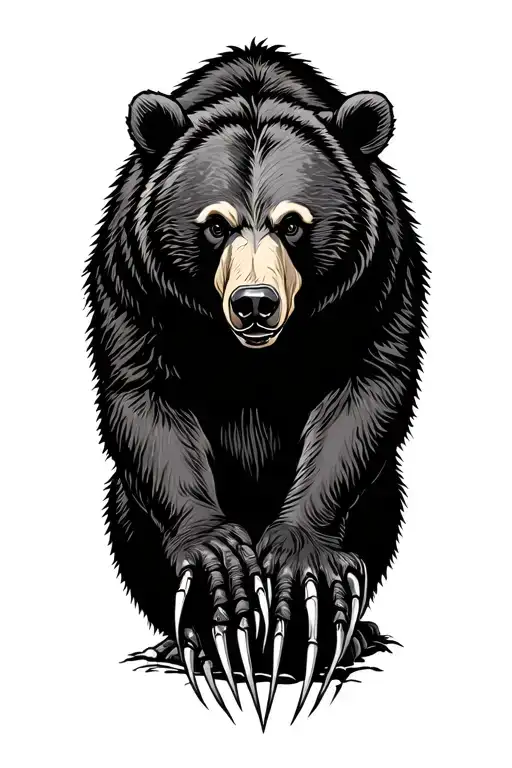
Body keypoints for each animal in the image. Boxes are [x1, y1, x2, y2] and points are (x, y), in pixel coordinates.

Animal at [85, 40, 427, 729]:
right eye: (216, 224)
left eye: (293, 223)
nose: (254, 303)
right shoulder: (133, 278)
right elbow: (145, 396)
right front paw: (218, 570)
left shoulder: (380, 275)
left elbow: (365, 390)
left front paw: (303, 569)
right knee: (126, 508)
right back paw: (194, 641)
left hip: (383, 496)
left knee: (383, 496)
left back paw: (341, 636)